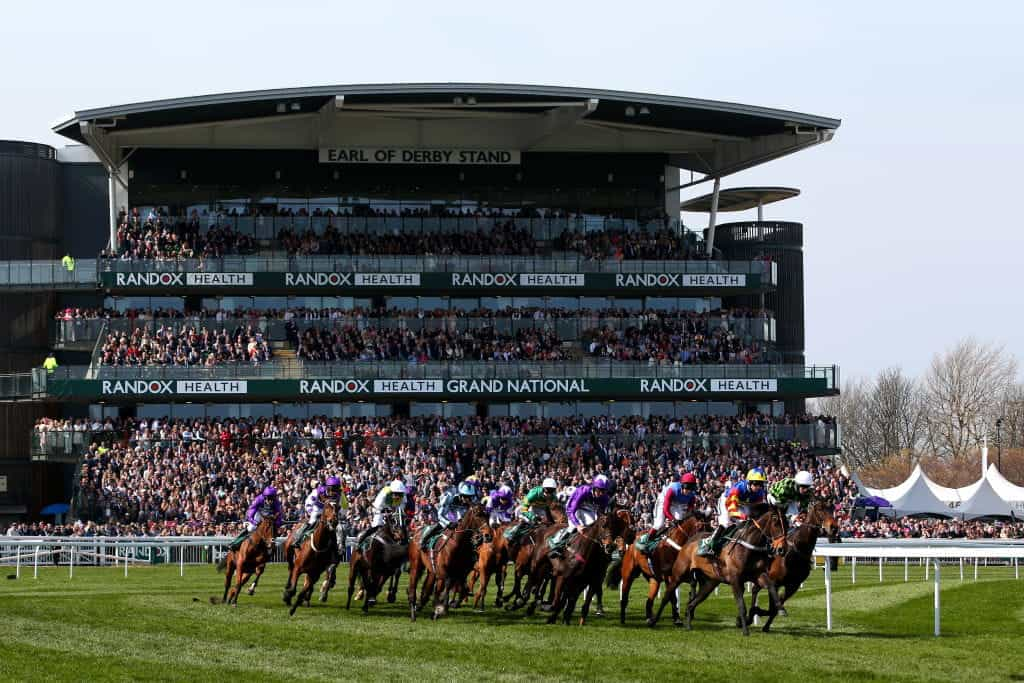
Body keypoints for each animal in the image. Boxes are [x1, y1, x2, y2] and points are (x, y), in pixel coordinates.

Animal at [651, 505, 786, 638]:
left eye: (786, 522)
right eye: (776, 521)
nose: (781, 549)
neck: (748, 546)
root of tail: (687, 543)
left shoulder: (757, 575)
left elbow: (771, 585)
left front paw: (781, 609)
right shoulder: (735, 579)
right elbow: (741, 605)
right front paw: (745, 631)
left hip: (709, 583)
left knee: (692, 602)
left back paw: (688, 625)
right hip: (678, 575)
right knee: (667, 596)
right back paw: (653, 620)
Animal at [745, 499, 839, 634]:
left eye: (832, 509)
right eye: (820, 509)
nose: (834, 527)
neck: (797, 550)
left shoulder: (793, 586)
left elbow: (776, 606)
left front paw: (766, 625)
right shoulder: (775, 582)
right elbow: (774, 605)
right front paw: (754, 614)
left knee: (756, 590)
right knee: (754, 590)